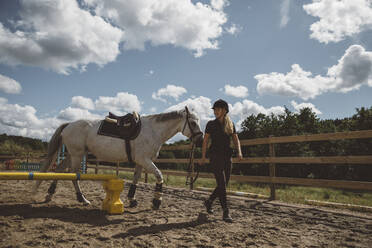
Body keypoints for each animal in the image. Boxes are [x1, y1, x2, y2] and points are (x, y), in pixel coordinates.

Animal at [33, 106, 203, 209]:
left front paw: (132, 199)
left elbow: (136, 179)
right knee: (73, 175)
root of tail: (69, 125)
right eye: (193, 123)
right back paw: (82, 199)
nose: (201, 139)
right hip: (76, 155)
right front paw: (156, 201)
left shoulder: (141, 162)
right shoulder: (145, 160)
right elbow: (159, 176)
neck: (153, 131)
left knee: (60, 170)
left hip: (73, 154)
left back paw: (49, 194)